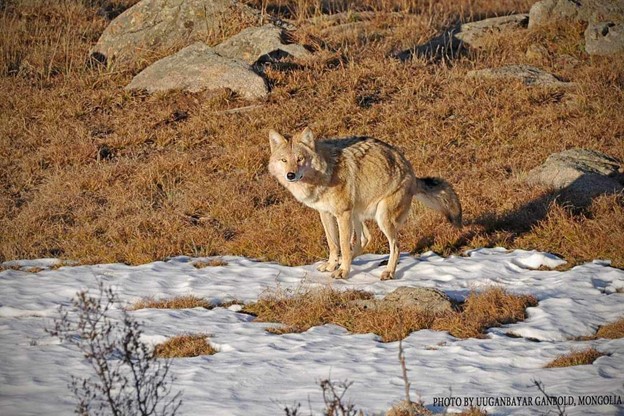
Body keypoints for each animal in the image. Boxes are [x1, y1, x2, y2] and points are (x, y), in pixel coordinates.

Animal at [268, 127, 464, 280]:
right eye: (284, 160)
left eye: (300, 158)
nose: (290, 175)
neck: (325, 174)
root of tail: (413, 175)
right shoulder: (325, 214)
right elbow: (333, 244)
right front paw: (332, 265)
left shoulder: (342, 214)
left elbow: (343, 245)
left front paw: (343, 272)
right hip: (357, 214)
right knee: (365, 238)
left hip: (381, 218)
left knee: (395, 246)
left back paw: (388, 272)